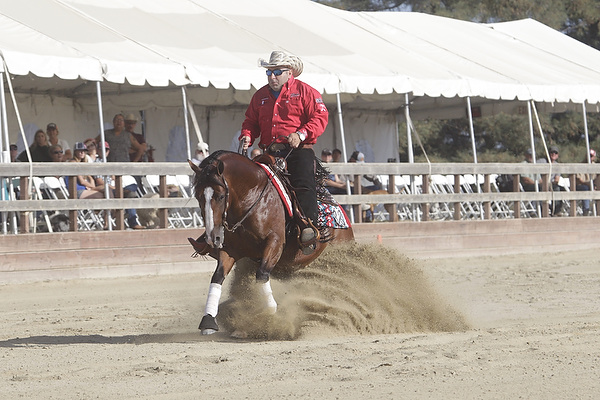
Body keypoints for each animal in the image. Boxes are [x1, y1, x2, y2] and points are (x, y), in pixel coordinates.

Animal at [188, 150, 354, 335]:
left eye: (221, 195)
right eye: (198, 196)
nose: (213, 237)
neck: (252, 199)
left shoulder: (274, 243)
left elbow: (261, 274)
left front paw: (270, 314)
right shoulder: (231, 250)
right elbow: (217, 276)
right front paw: (208, 321)